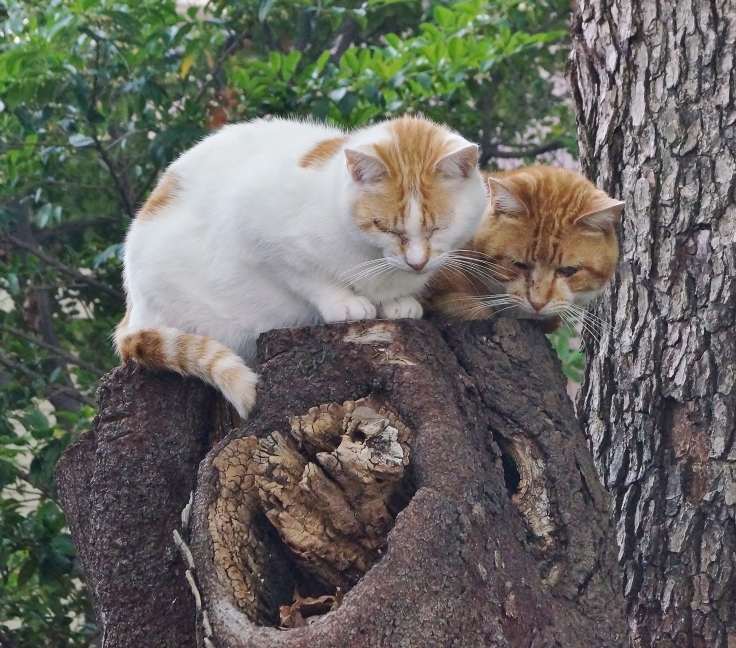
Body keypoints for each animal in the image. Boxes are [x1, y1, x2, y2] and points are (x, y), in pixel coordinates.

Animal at [116, 116, 488, 416]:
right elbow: (311, 278)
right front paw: (345, 303)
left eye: (440, 227)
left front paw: (398, 303)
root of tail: (132, 312)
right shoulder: (259, 230)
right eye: (385, 228)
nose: (416, 261)